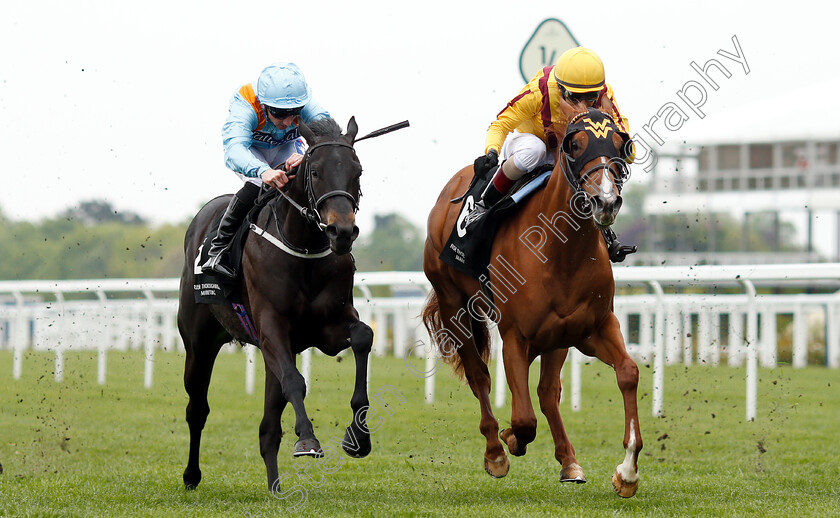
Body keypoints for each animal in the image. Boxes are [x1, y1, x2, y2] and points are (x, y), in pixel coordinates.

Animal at [179, 118, 372, 496]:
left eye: (357, 171)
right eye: (315, 172)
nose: (341, 232)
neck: (303, 248)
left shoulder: (329, 326)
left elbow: (363, 337)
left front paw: (359, 436)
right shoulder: (271, 328)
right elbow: (296, 382)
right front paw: (308, 439)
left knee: (268, 426)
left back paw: (275, 487)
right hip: (199, 344)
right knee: (197, 410)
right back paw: (192, 475)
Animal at [420, 101, 644, 500]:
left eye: (621, 144)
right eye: (575, 145)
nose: (605, 201)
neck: (561, 251)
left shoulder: (593, 328)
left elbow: (627, 373)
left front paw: (627, 472)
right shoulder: (515, 337)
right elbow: (522, 419)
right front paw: (509, 439)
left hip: (558, 337)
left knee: (546, 392)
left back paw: (569, 461)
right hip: (452, 305)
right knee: (479, 377)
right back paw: (495, 450)